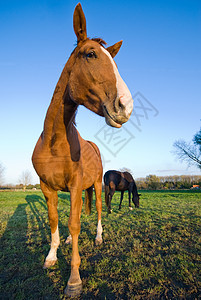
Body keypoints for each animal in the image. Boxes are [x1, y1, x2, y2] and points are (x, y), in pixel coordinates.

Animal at [31, 2, 133, 298]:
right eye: (90, 54)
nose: (126, 106)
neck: (54, 142)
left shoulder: (78, 185)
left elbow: (76, 223)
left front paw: (74, 279)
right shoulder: (47, 187)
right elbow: (55, 219)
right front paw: (51, 256)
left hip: (98, 186)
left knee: (98, 208)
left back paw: (98, 237)